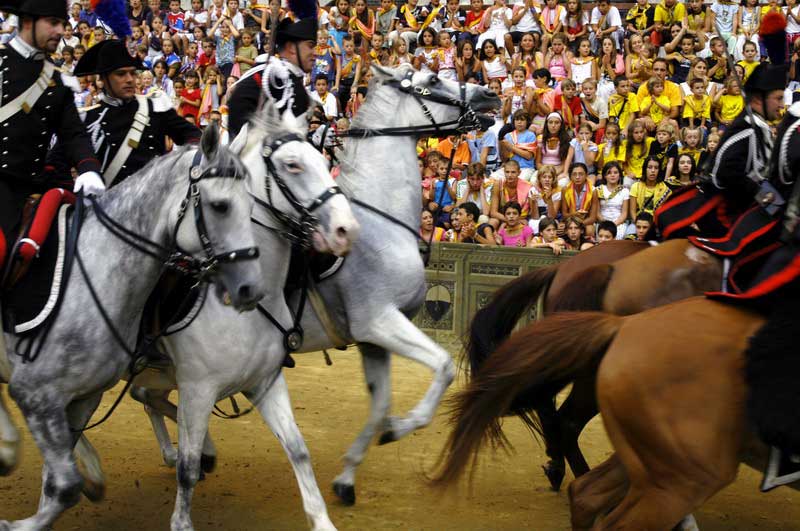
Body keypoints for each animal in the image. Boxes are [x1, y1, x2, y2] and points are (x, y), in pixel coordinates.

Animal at [0, 122, 266, 528]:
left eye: (252, 205)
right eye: (220, 206)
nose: (251, 288)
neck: (96, 271)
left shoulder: (83, 396)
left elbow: (58, 485)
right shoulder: (35, 393)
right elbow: (64, 486)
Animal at [119, 64, 500, 510]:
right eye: (432, 80)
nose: (490, 97)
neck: (381, 221)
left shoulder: (372, 340)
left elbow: (380, 405)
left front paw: (348, 477)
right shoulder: (379, 323)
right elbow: (441, 367)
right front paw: (400, 428)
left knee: (146, 395)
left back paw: (190, 450)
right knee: (146, 394)